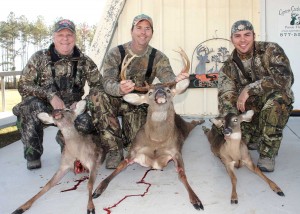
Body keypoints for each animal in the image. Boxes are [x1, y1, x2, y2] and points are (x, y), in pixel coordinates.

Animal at [92, 47, 205, 210]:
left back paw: (202, 121)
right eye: (150, 92)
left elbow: (182, 173)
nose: (160, 92)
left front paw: (196, 200)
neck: (156, 140)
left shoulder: (176, 152)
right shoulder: (134, 150)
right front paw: (98, 189)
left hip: (184, 127)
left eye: (168, 90)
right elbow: (120, 166)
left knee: (193, 123)